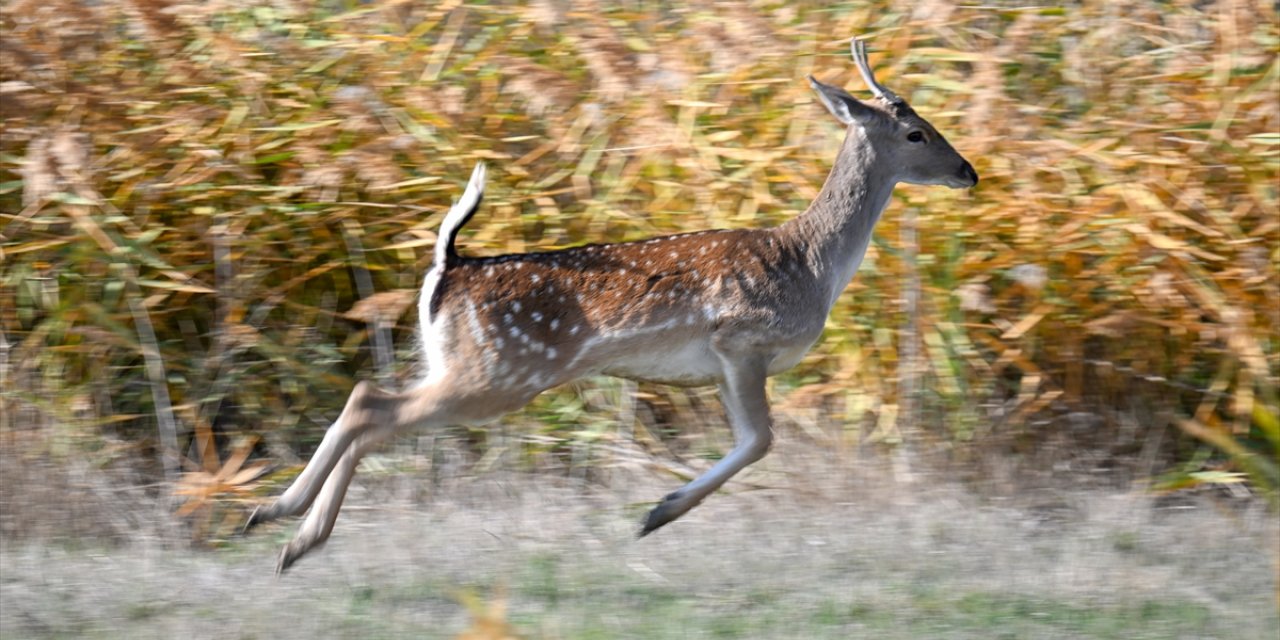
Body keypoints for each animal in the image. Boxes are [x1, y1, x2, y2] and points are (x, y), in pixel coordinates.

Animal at [241, 38, 977, 576]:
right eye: (917, 132)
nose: (969, 172)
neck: (811, 264)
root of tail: (452, 265)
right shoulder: (741, 340)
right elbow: (762, 440)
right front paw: (658, 513)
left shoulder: (722, 364)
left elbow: (751, 440)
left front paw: (658, 509)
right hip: (503, 372)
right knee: (376, 410)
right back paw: (294, 537)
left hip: (456, 362)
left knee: (366, 395)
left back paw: (274, 517)